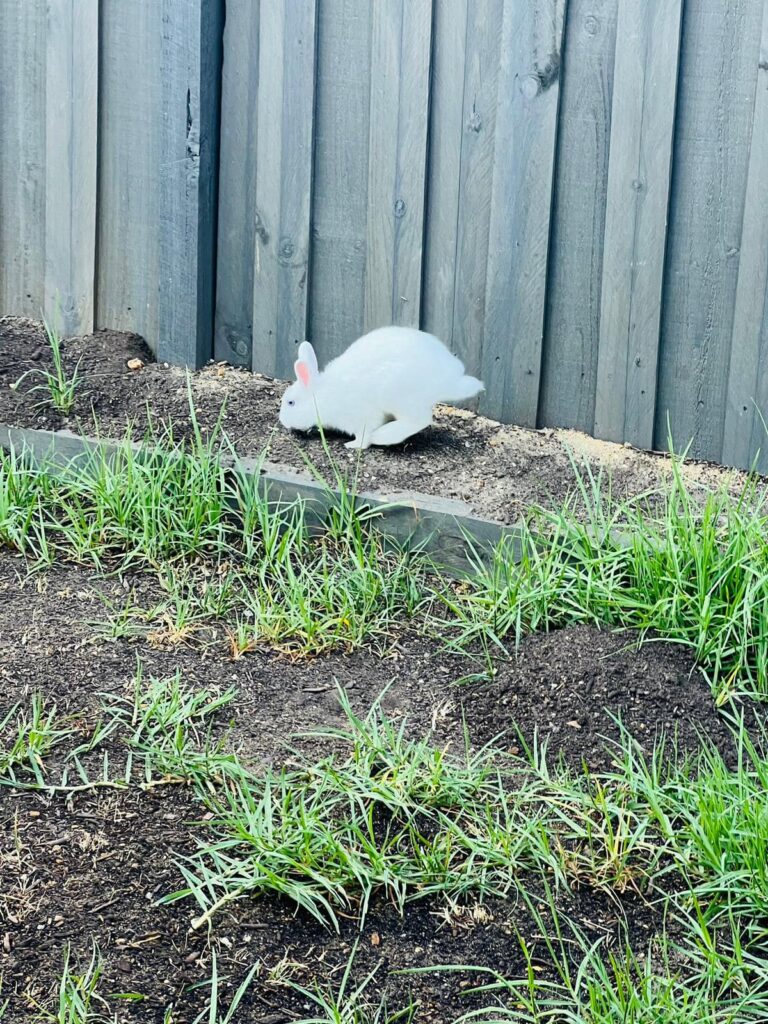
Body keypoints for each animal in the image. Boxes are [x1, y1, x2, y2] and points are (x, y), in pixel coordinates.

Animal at [279, 326, 484, 449]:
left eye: (291, 403)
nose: (283, 421)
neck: (323, 395)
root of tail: (450, 380)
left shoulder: (361, 418)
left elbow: (363, 437)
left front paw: (352, 445)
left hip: (400, 397)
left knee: (419, 420)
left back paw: (382, 437)